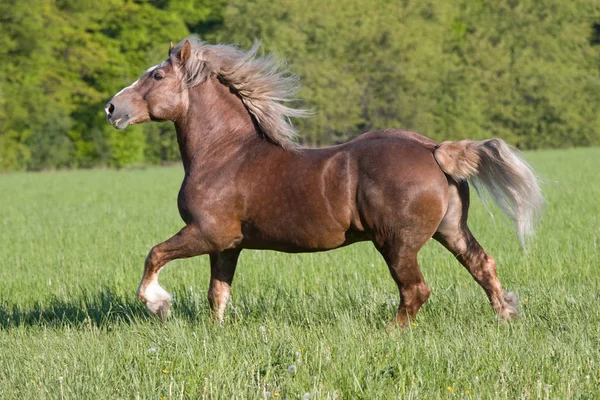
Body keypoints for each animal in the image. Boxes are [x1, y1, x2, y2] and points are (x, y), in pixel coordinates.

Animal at [105, 37, 540, 326]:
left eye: (157, 75)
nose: (111, 108)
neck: (224, 154)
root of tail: (434, 149)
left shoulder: (206, 233)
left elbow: (154, 255)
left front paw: (159, 304)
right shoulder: (227, 245)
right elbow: (218, 293)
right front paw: (215, 332)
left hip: (397, 243)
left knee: (415, 290)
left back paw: (389, 333)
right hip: (450, 229)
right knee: (482, 264)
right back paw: (506, 318)